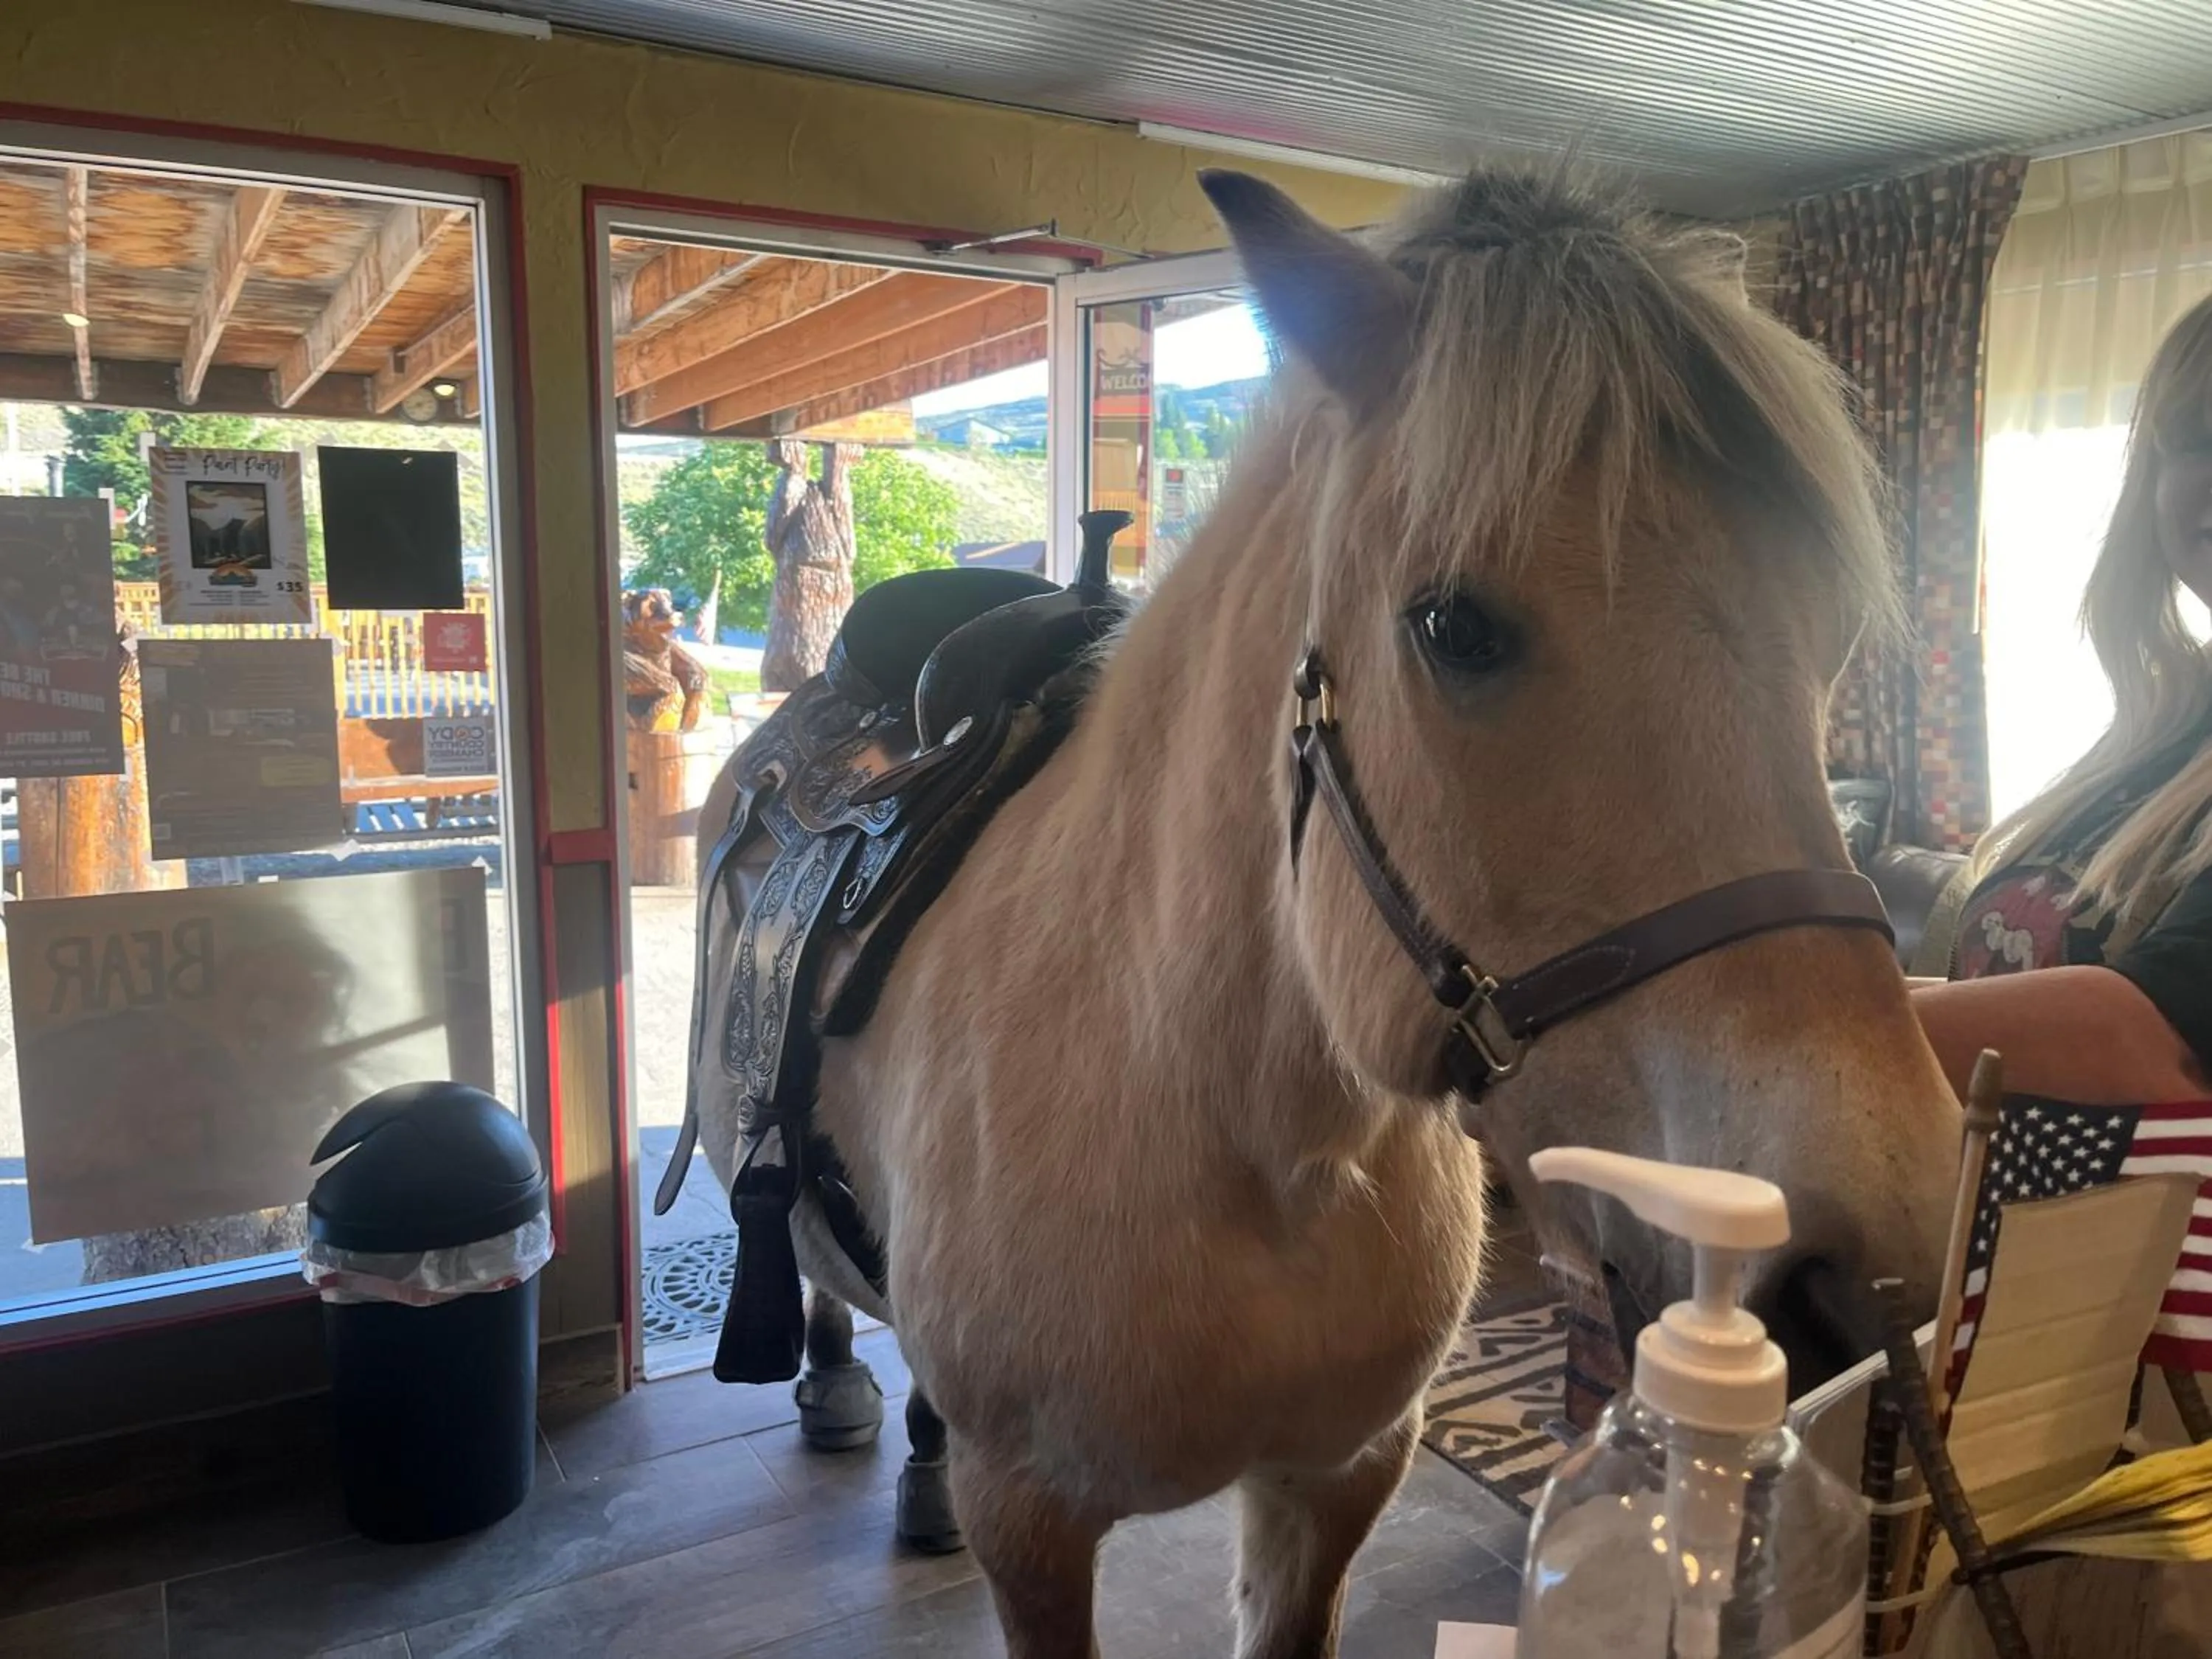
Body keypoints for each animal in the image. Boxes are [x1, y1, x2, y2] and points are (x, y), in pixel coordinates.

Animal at [689, 164, 1963, 1658]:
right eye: (1454, 629)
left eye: (1831, 636)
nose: (1866, 1267)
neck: (1249, 1138)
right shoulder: (1036, 1526)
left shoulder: (1342, 1474)